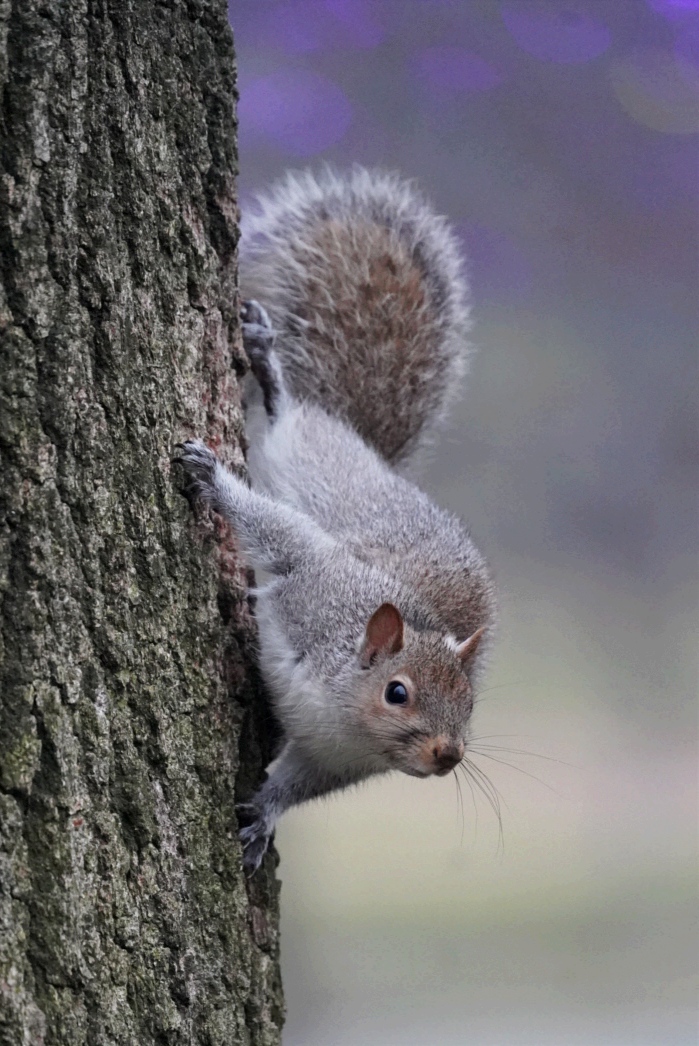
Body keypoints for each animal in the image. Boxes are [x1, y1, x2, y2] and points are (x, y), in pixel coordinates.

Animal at [177, 167, 493, 870]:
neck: (341, 707)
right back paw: (269, 363)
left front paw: (262, 818)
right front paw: (211, 478)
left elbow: (296, 785)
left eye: (468, 702)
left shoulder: (332, 760)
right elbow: (285, 539)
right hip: (313, 457)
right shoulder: (317, 578)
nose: (448, 754)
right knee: (291, 415)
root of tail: (370, 453)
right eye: (397, 692)